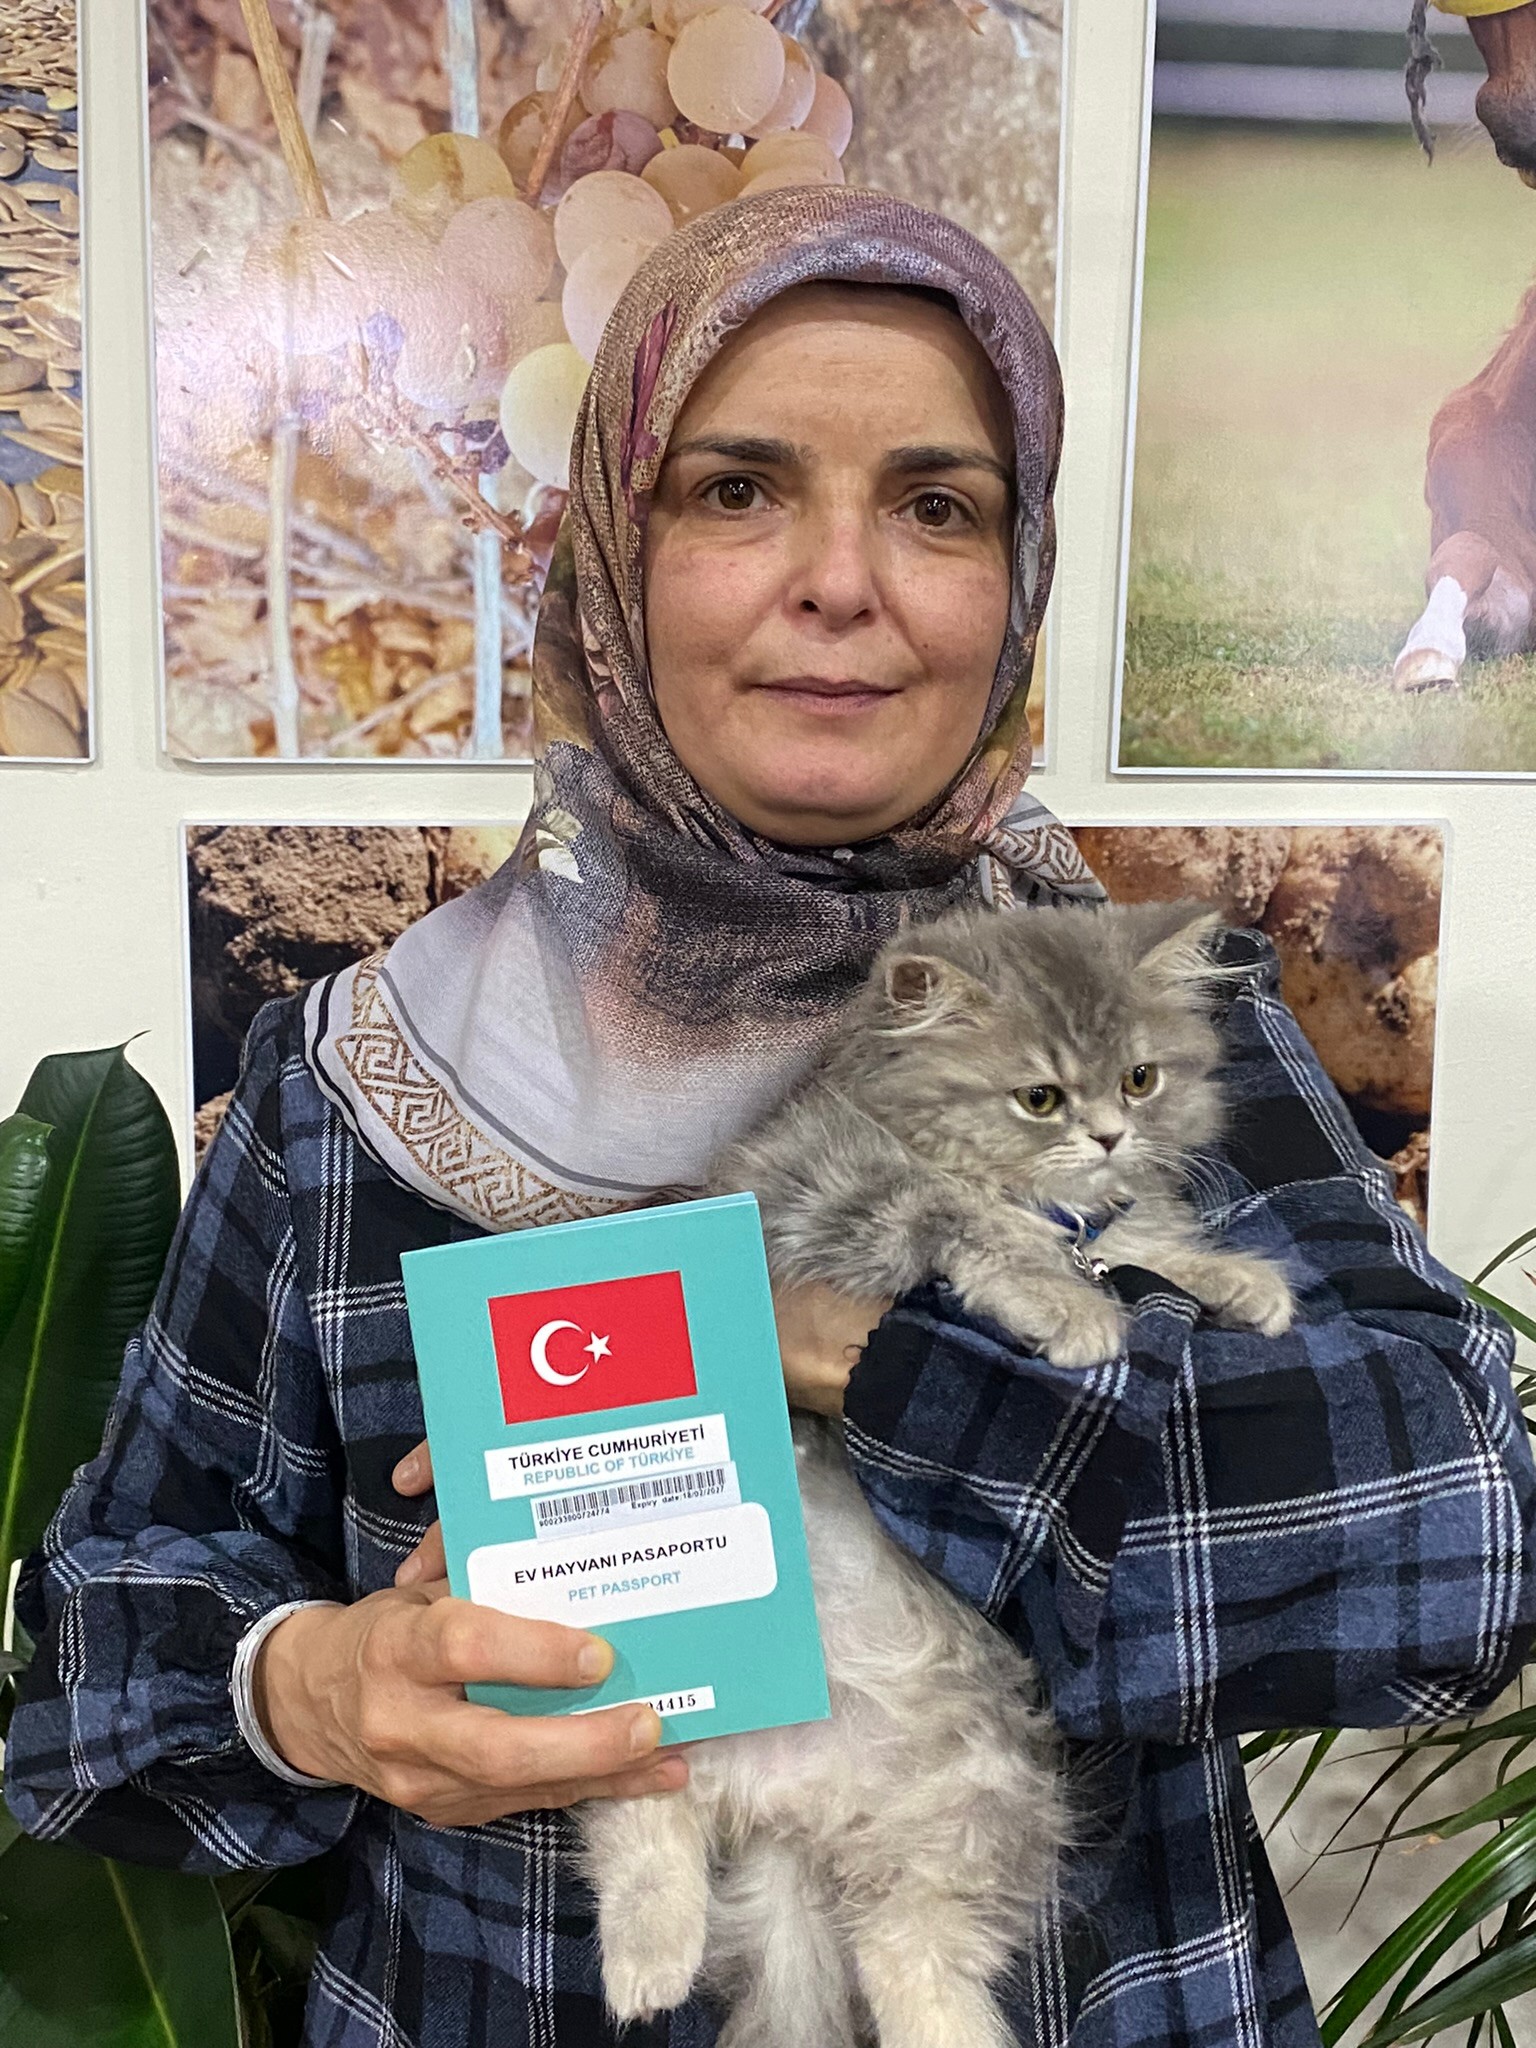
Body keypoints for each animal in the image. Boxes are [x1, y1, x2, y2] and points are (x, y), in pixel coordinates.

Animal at [580, 899, 1296, 2048]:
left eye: (1141, 1078)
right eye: (1040, 1097)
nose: (1109, 1132)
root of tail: (794, 1805)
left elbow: (1149, 1246)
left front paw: (1238, 1280)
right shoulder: (830, 1199)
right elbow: (969, 1223)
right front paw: (1072, 1308)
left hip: (961, 1825)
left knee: (910, 1968)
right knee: (639, 1825)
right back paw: (649, 1965)